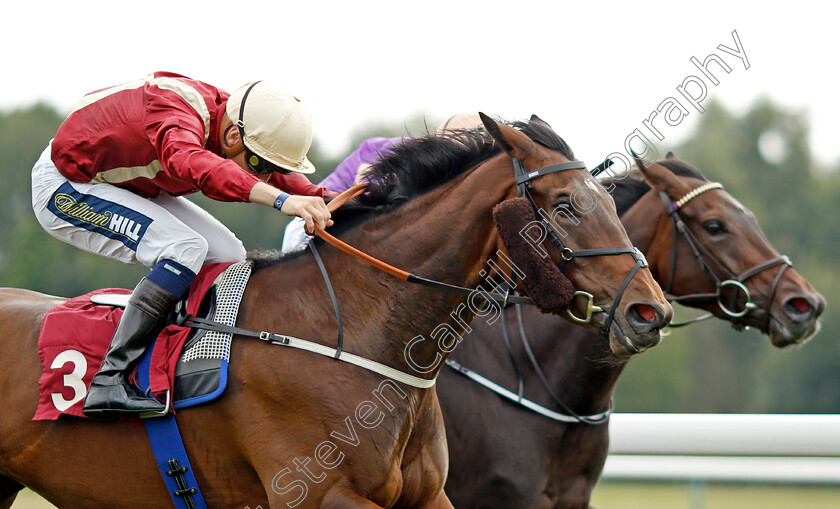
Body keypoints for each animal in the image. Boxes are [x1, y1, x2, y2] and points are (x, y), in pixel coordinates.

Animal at [0, 116, 668, 508]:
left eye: (610, 199)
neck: (358, 332)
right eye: (565, 206)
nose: (649, 311)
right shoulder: (318, 494)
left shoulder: (429, 496)